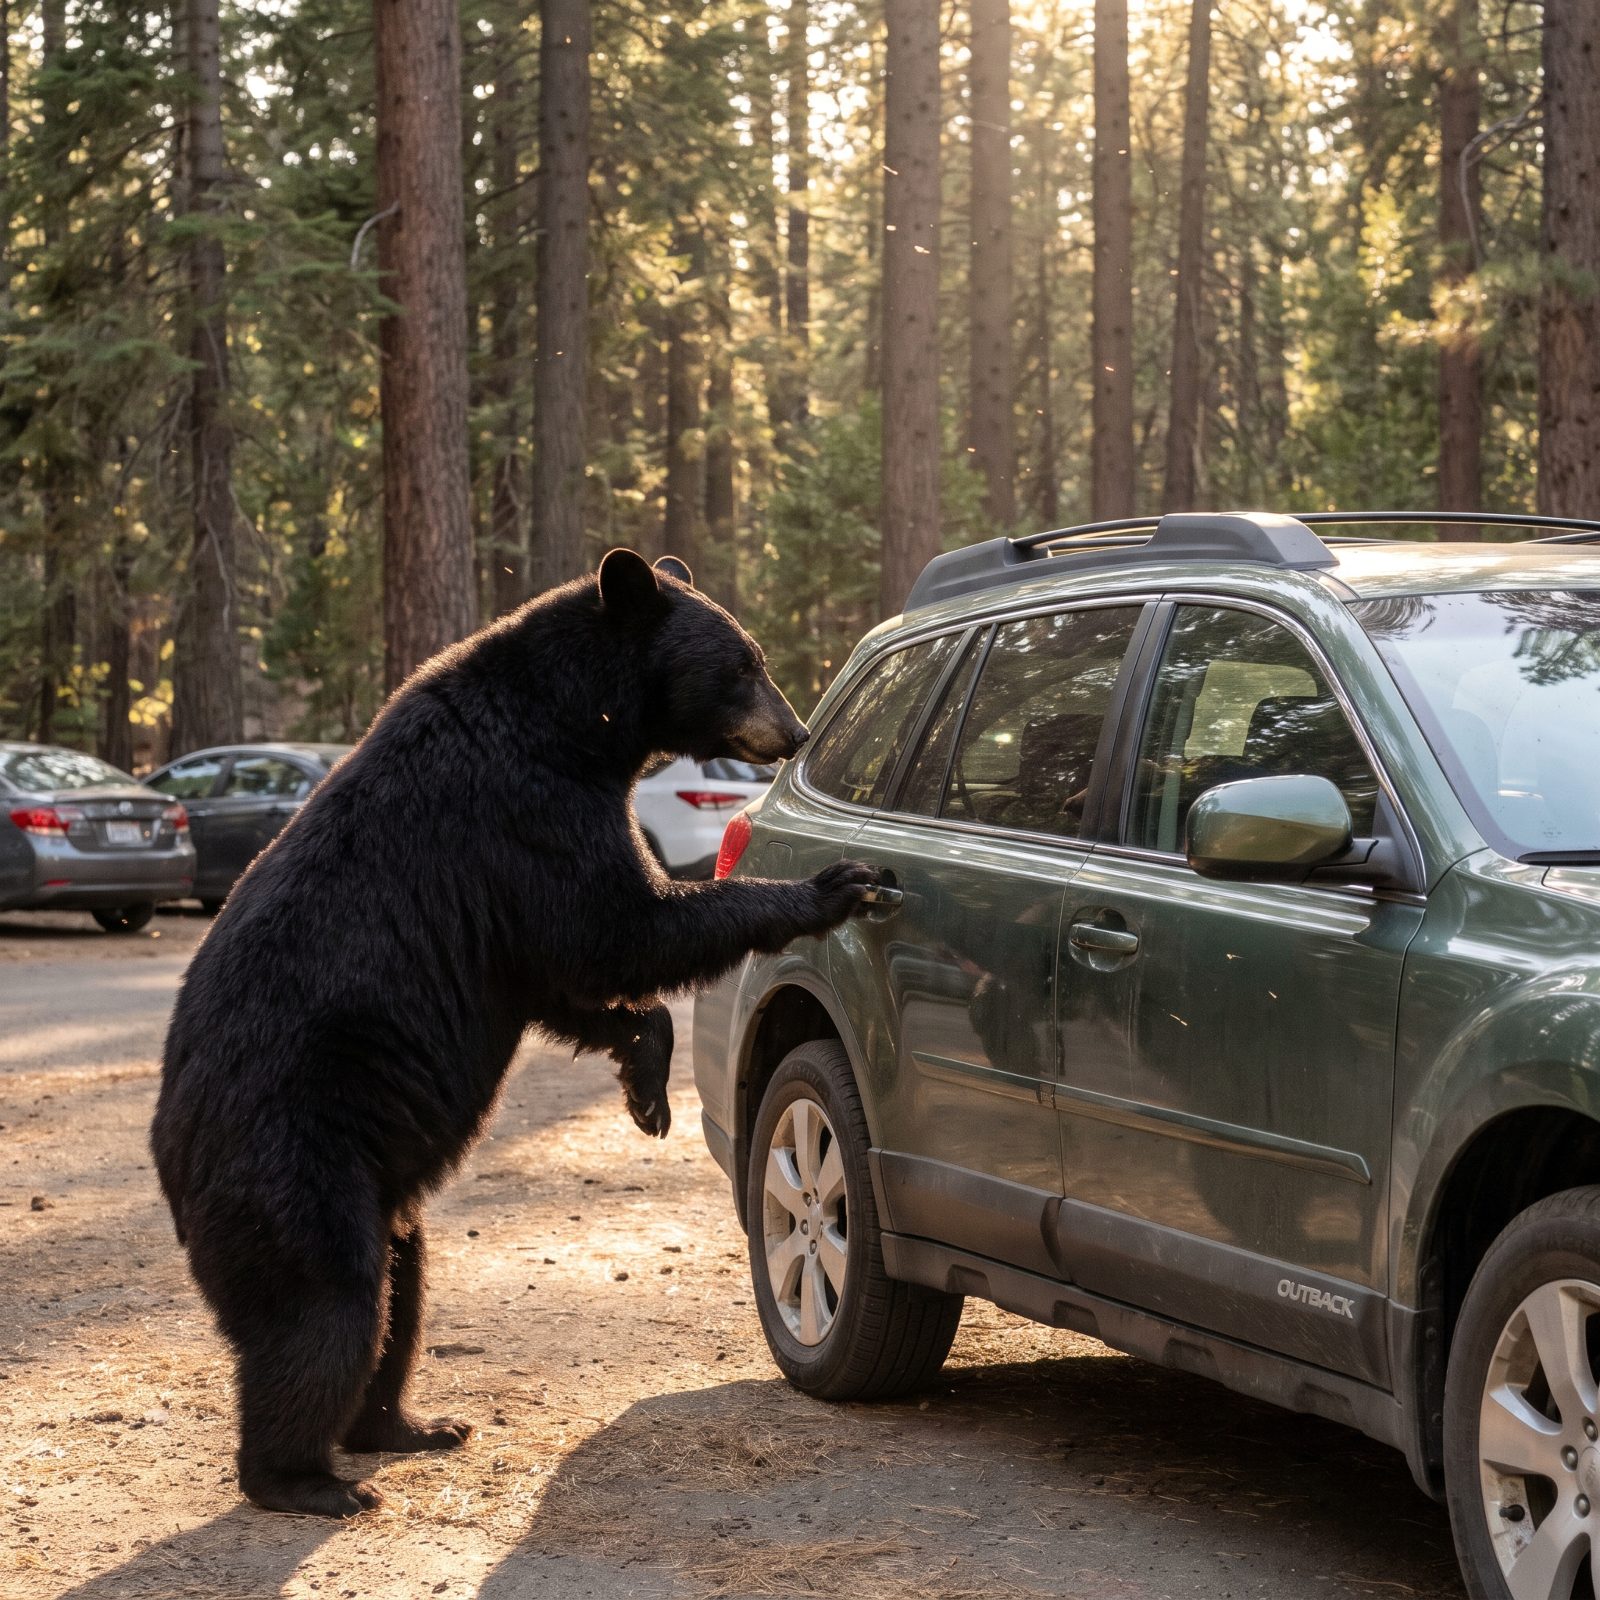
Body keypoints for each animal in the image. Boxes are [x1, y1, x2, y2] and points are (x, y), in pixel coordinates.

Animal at [150, 549, 879, 1518]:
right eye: (743, 662)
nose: (793, 731)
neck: (575, 724)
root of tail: (168, 1156)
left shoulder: (509, 909)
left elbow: (566, 977)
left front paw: (645, 1088)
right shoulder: (524, 812)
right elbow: (616, 927)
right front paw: (830, 886)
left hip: (376, 1191)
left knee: (401, 1294)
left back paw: (412, 1424)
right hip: (292, 1161)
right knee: (327, 1309)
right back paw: (307, 1478)